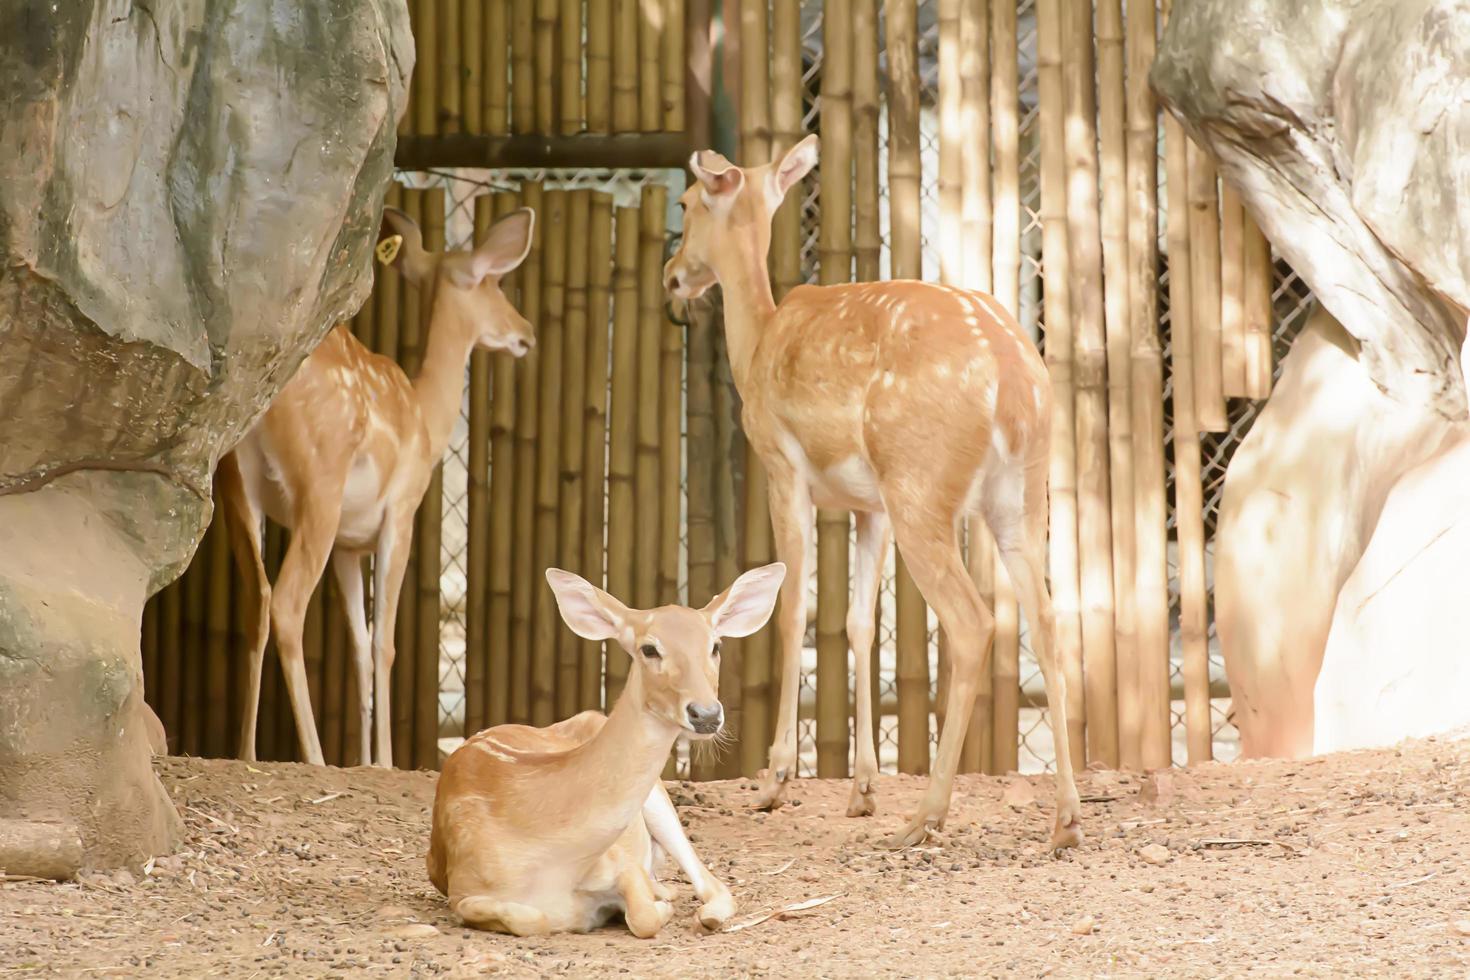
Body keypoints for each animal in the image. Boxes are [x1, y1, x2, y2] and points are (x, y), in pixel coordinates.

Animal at [661, 132, 1087, 852]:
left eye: (689, 202)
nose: (671, 274)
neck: (758, 343)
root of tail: (1013, 381)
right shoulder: (869, 507)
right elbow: (858, 623)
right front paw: (860, 789)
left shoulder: (782, 465)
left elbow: (791, 613)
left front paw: (776, 780)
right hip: (1020, 495)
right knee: (1049, 623)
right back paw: (1065, 819)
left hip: (920, 481)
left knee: (974, 622)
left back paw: (926, 814)